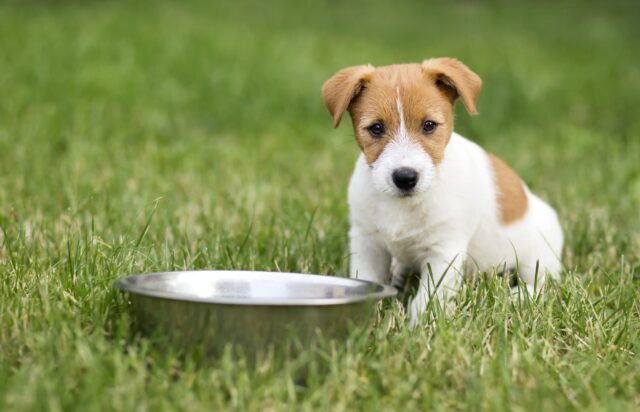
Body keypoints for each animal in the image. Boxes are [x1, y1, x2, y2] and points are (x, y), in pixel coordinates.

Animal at [322, 57, 564, 326]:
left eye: (429, 125)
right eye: (376, 128)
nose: (405, 177)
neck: (403, 206)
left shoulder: (443, 252)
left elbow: (426, 300)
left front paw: (418, 329)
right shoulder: (367, 244)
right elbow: (368, 281)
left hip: (539, 256)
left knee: (542, 284)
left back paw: (517, 296)